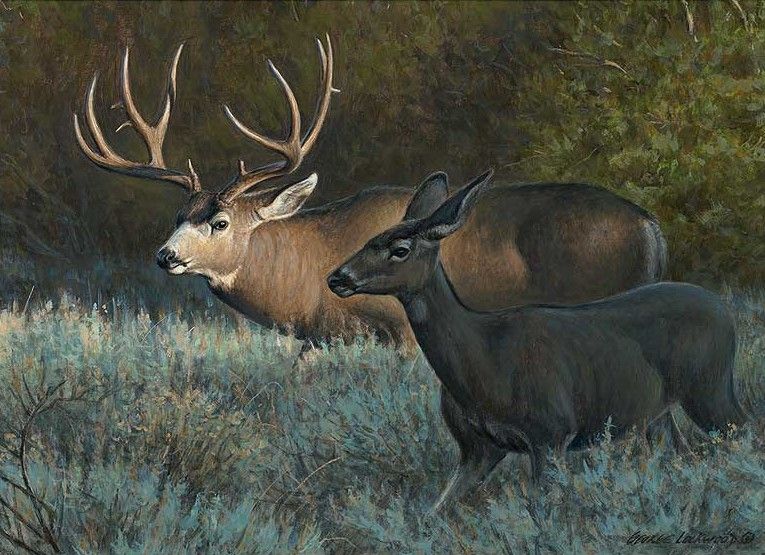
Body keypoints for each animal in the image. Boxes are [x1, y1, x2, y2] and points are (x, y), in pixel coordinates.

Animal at [74, 39, 669, 356]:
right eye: (179, 213)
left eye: (219, 221)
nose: (165, 255)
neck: (306, 271)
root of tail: (651, 227)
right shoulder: (319, 340)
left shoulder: (401, 331)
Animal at [328, 169, 747, 511]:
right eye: (369, 239)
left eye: (400, 250)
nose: (337, 278)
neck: (481, 359)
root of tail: (723, 310)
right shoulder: (476, 449)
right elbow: (438, 510)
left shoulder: (552, 433)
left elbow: (543, 508)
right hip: (657, 409)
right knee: (677, 450)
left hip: (710, 388)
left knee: (741, 433)